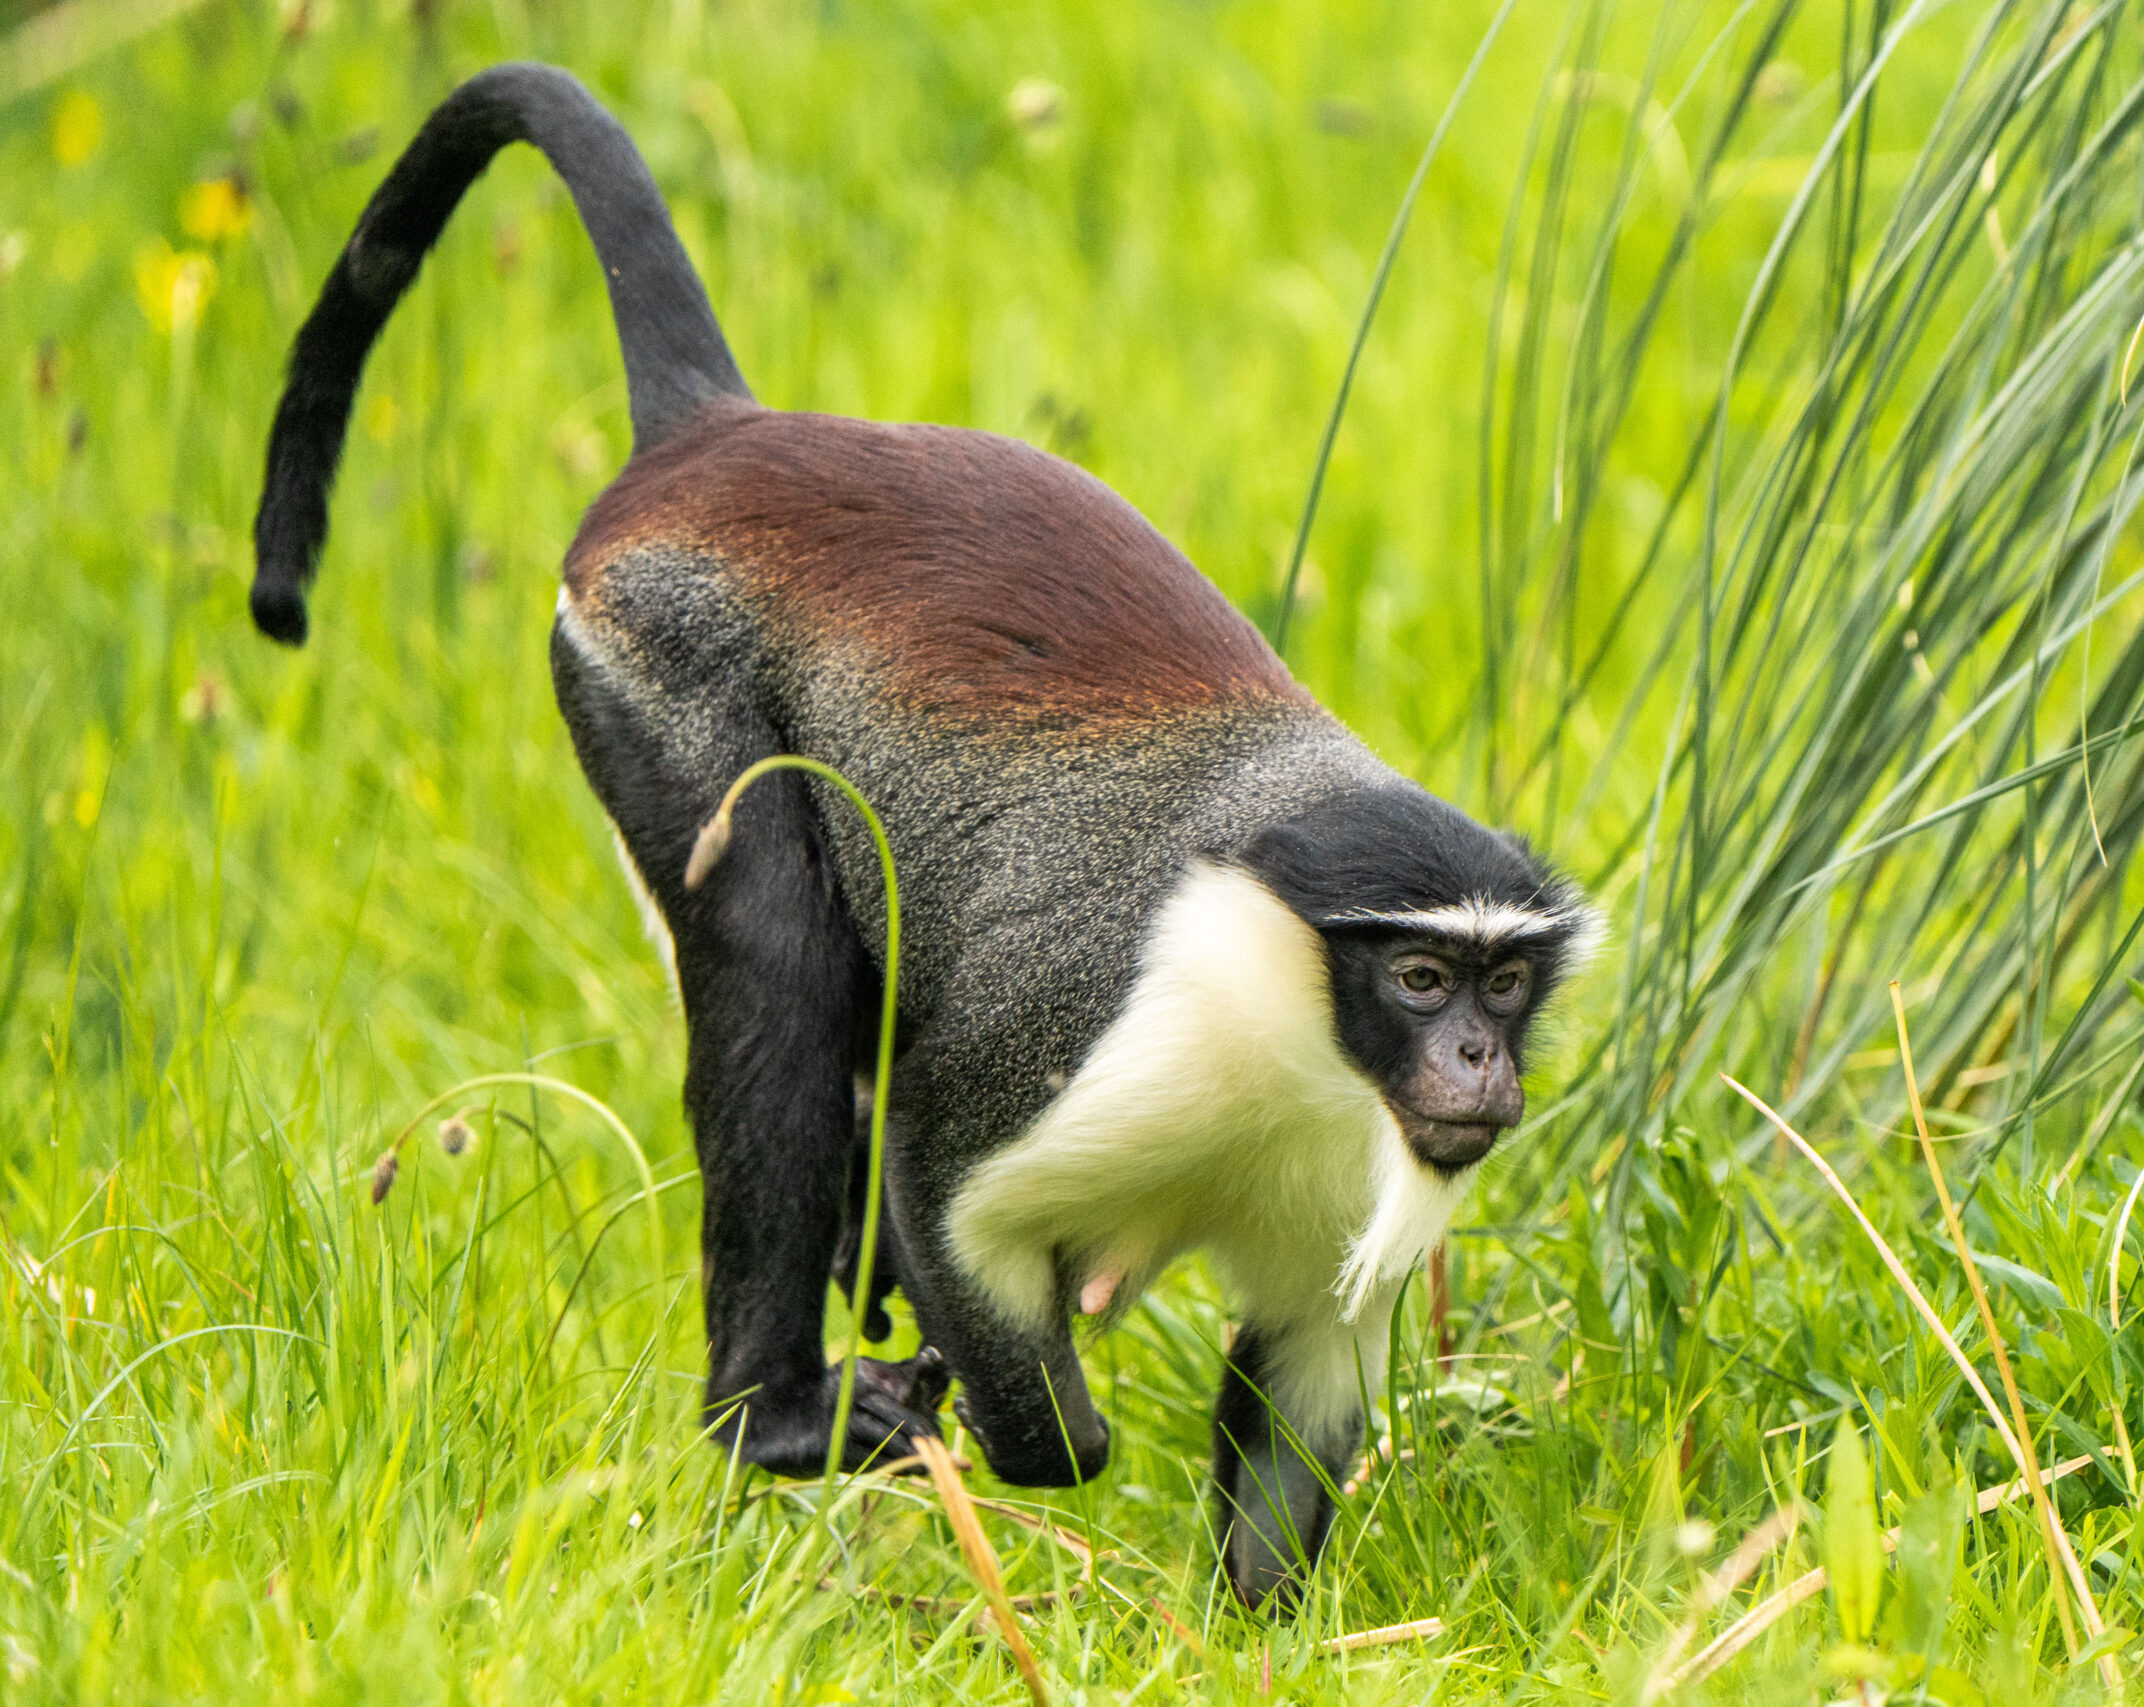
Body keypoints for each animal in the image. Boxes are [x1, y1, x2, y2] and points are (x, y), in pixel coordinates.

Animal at [250, 63, 1598, 1610]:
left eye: (1506, 982)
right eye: (1422, 981)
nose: (1479, 1061)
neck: (1300, 1022)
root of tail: (720, 432)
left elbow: (1298, 1390)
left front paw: (1244, 1632)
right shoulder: (1093, 1034)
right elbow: (948, 1189)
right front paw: (1043, 1430)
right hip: (656, 681)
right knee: (771, 955)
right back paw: (775, 1412)